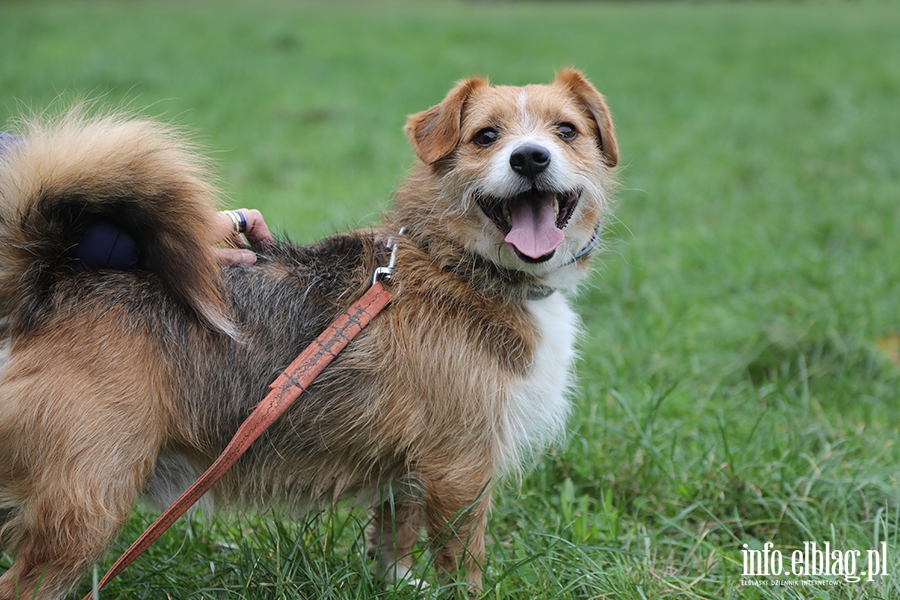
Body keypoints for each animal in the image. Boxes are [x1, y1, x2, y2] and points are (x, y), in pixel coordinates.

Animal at [0, 69, 616, 596]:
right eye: (486, 136)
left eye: (567, 130)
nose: (530, 157)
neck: (458, 261)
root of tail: (47, 285)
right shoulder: (461, 469)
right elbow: (463, 562)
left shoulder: (413, 468)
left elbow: (395, 532)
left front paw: (396, 585)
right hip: (85, 508)